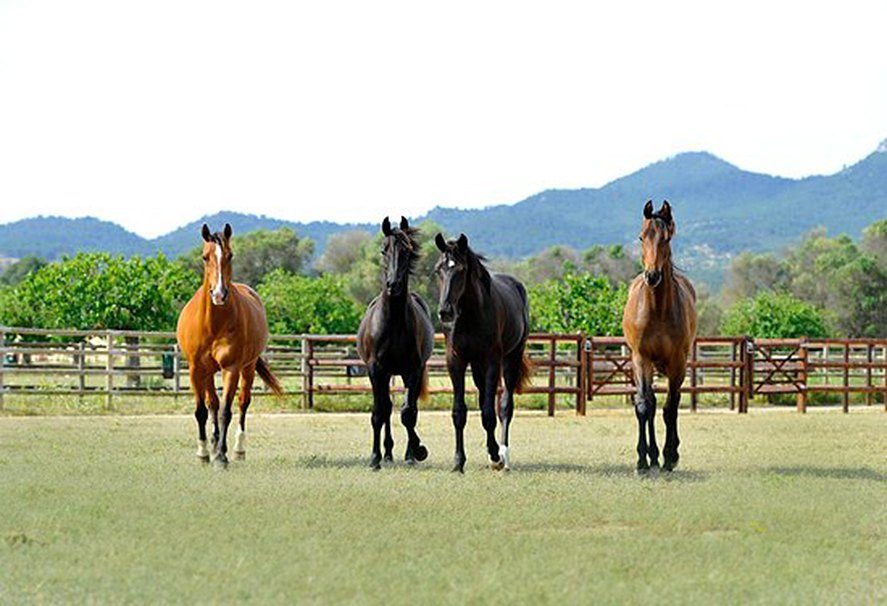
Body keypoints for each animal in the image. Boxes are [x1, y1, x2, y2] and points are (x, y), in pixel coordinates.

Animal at [176, 223, 283, 469]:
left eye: (230, 255)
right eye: (205, 257)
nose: (219, 294)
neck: (213, 324)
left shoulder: (231, 368)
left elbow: (226, 411)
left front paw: (221, 457)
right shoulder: (196, 369)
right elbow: (202, 411)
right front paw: (204, 452)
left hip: (248, 367)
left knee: (242, 403)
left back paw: (238, 449)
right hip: (208, 372)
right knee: (212, 404)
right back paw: (214, 443)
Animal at [357, 216, 435, 470]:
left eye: (407, 252)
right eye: (384, 250)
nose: (394, 285)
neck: (393, 322)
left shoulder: (413, 369)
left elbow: (408, 413)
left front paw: (416, 451)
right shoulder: (375, 370)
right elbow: (378, 413)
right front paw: (374, 458)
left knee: (405, 409)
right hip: (386, 373)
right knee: (387, 408)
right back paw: (387, 454)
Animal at [434, 232, 532, 473]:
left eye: (460, 270)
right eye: (438, 269)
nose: (445, 311)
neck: (471, 315)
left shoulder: (492, 362)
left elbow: (489, 413)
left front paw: (496, 456)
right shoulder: (456, 362)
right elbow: (459, 412)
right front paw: (458, 462)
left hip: (511, 358)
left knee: (504, 406)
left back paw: (503, 455)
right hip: (477, 366)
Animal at [622, 200, 697, 472]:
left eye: (666, 238)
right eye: (641, 236)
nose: (652, 276)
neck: (657, 310)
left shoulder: (677, 363)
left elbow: (670, 409)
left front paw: (669, 456)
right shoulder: (641, 358)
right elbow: (645, 406)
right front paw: (642, 460)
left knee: (671, 404)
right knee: (651, 403)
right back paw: (652, 457)